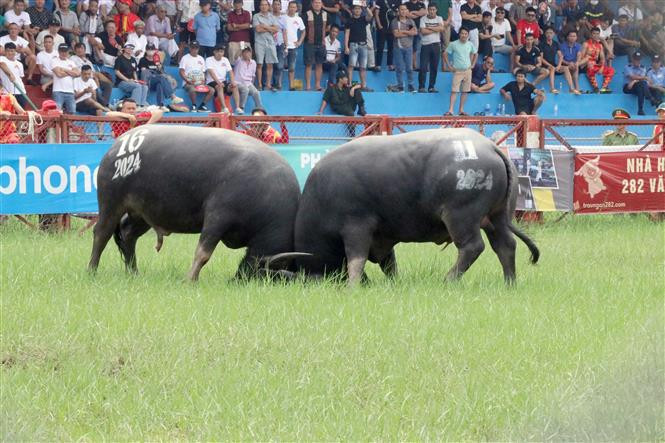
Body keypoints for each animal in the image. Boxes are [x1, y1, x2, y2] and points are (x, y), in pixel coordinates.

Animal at [88, 125, 302, 280]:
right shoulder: (218, 217)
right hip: (111, 203)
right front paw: (190, 279)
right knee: (101, 234)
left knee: (128, 234)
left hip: (143, 213)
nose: (237, 279)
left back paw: (133, 272)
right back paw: (92, 270)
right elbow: (203, 253)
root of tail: (117, 145)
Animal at [294, 128, 540, 284]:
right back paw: (510, 282)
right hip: (497, 218)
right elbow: (388, 263)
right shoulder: (382, 235)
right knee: (506, 245)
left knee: (472, 247)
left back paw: (448, 280)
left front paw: (352, 286)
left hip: (461, 217)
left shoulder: (356, 227)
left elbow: (356, 259)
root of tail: (490, 147)